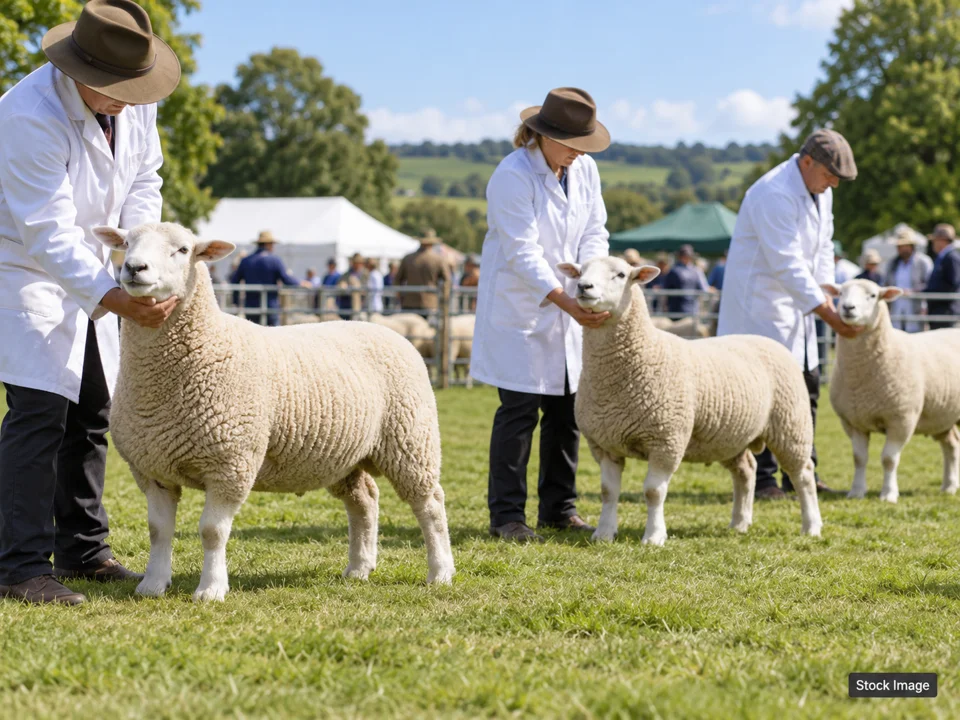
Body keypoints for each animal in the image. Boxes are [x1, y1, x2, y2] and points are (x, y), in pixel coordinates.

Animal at [92, 222, 455, 601]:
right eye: (127, 243)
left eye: (183, 250)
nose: (134, 268)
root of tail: (384, 329)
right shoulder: (153, 469)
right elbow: (158, 530)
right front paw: (152, 584)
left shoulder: (231, 464)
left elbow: (212, 531)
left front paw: (211, 589)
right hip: (345, 456)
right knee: (364, 500)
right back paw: (359, 568)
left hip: (411, 439)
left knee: (430, 503)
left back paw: (440, 571)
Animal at [558, 256, 822, 545]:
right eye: (580, 272)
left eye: (620, 275)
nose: (584, 286)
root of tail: (765, 339)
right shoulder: (604, 443)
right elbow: (608, 491)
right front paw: (604, 533)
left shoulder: (666, 440)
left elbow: (653, 492)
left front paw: (654, 536)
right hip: (730, 437)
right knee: (746, 470)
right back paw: (740, 523)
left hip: (791, 424)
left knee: (803, 474)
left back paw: (811, 526)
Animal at [824, 279, 960, 502]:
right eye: (841, 293)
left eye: (873, 295)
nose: (847, 307)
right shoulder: (853, 421)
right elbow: (859, 458)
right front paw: (856, 492)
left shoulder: (901, 419)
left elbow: (889, 459)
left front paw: (888, 494)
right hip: (942, 416)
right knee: (952, 445)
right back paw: (949, 486)